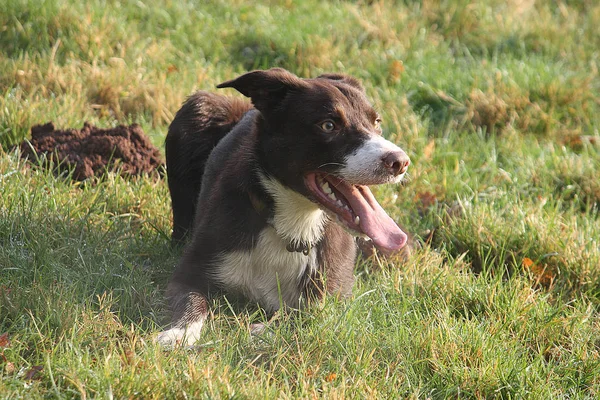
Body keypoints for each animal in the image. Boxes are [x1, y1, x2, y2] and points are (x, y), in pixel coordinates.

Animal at [158, 67, 412, 346]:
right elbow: (190, 299)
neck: (294, 223)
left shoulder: (335, 296)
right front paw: (179, 333)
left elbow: (311, 314)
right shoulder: (192, 268)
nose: (400, 162)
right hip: (198, 108)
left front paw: (263, 330)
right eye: (328, 125)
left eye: (376, 122)